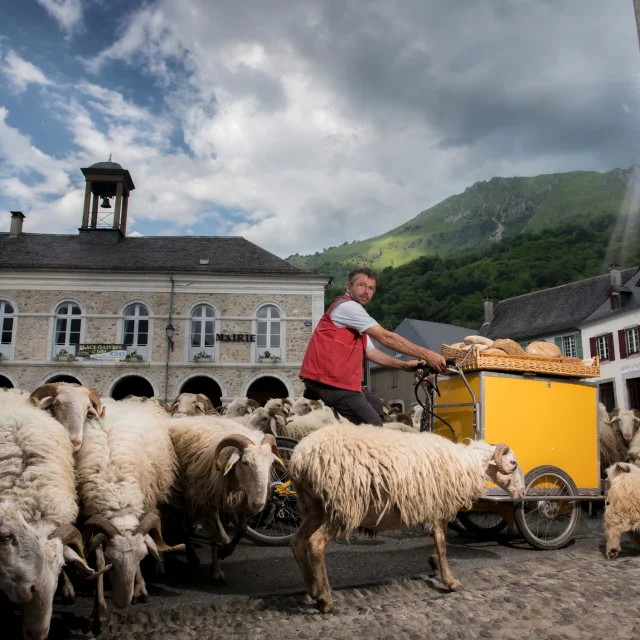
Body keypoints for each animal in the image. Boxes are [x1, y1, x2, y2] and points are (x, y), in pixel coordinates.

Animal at [76, 398, 185, 632]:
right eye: (111, 561)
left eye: (141, 558)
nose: (122, 603)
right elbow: (97, 561)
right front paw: (98, 614)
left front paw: (141, 589)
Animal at [168, 418, 284, 584]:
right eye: (245, 462)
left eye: (270, 464)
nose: (258, 504)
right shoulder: (206, 502)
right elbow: (213, 536)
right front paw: (217, 571)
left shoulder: (241, 501)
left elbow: (242, 529)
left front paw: (225, 551)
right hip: (179, 494)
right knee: (179, 524)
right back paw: (193, 555)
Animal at [290, 424, 524, 616]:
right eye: (513, 462)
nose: (522, 494)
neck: (466, 464)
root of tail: (301, 458)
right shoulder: (439, 505)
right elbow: (442, 544)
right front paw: (450, 581)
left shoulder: (432, 507)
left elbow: (438, 542)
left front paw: (435, 564)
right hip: (343, 505)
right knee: (315, 543)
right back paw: (325, 601)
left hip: (316, 508)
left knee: (297, 541)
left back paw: (313, 589)